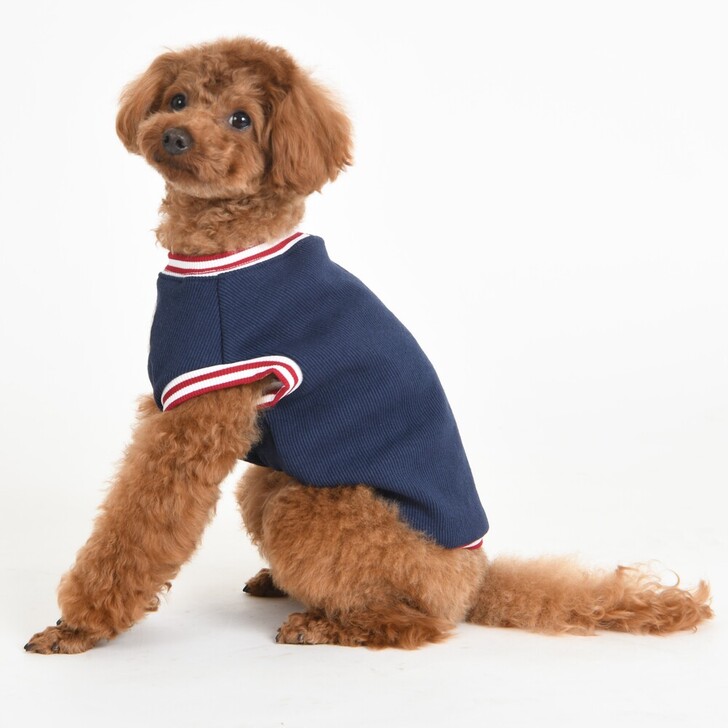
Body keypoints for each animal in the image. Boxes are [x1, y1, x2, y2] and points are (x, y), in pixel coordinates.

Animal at [25, 38, 711, 653]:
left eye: (240, 119)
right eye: (177, 99)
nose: (173, 136)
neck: (227, 246)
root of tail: (473, 582)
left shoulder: (198, 414)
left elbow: (140, 522)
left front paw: (80, 625)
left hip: (309, 508)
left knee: (417, 623)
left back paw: (325, 625)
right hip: (268, 484)